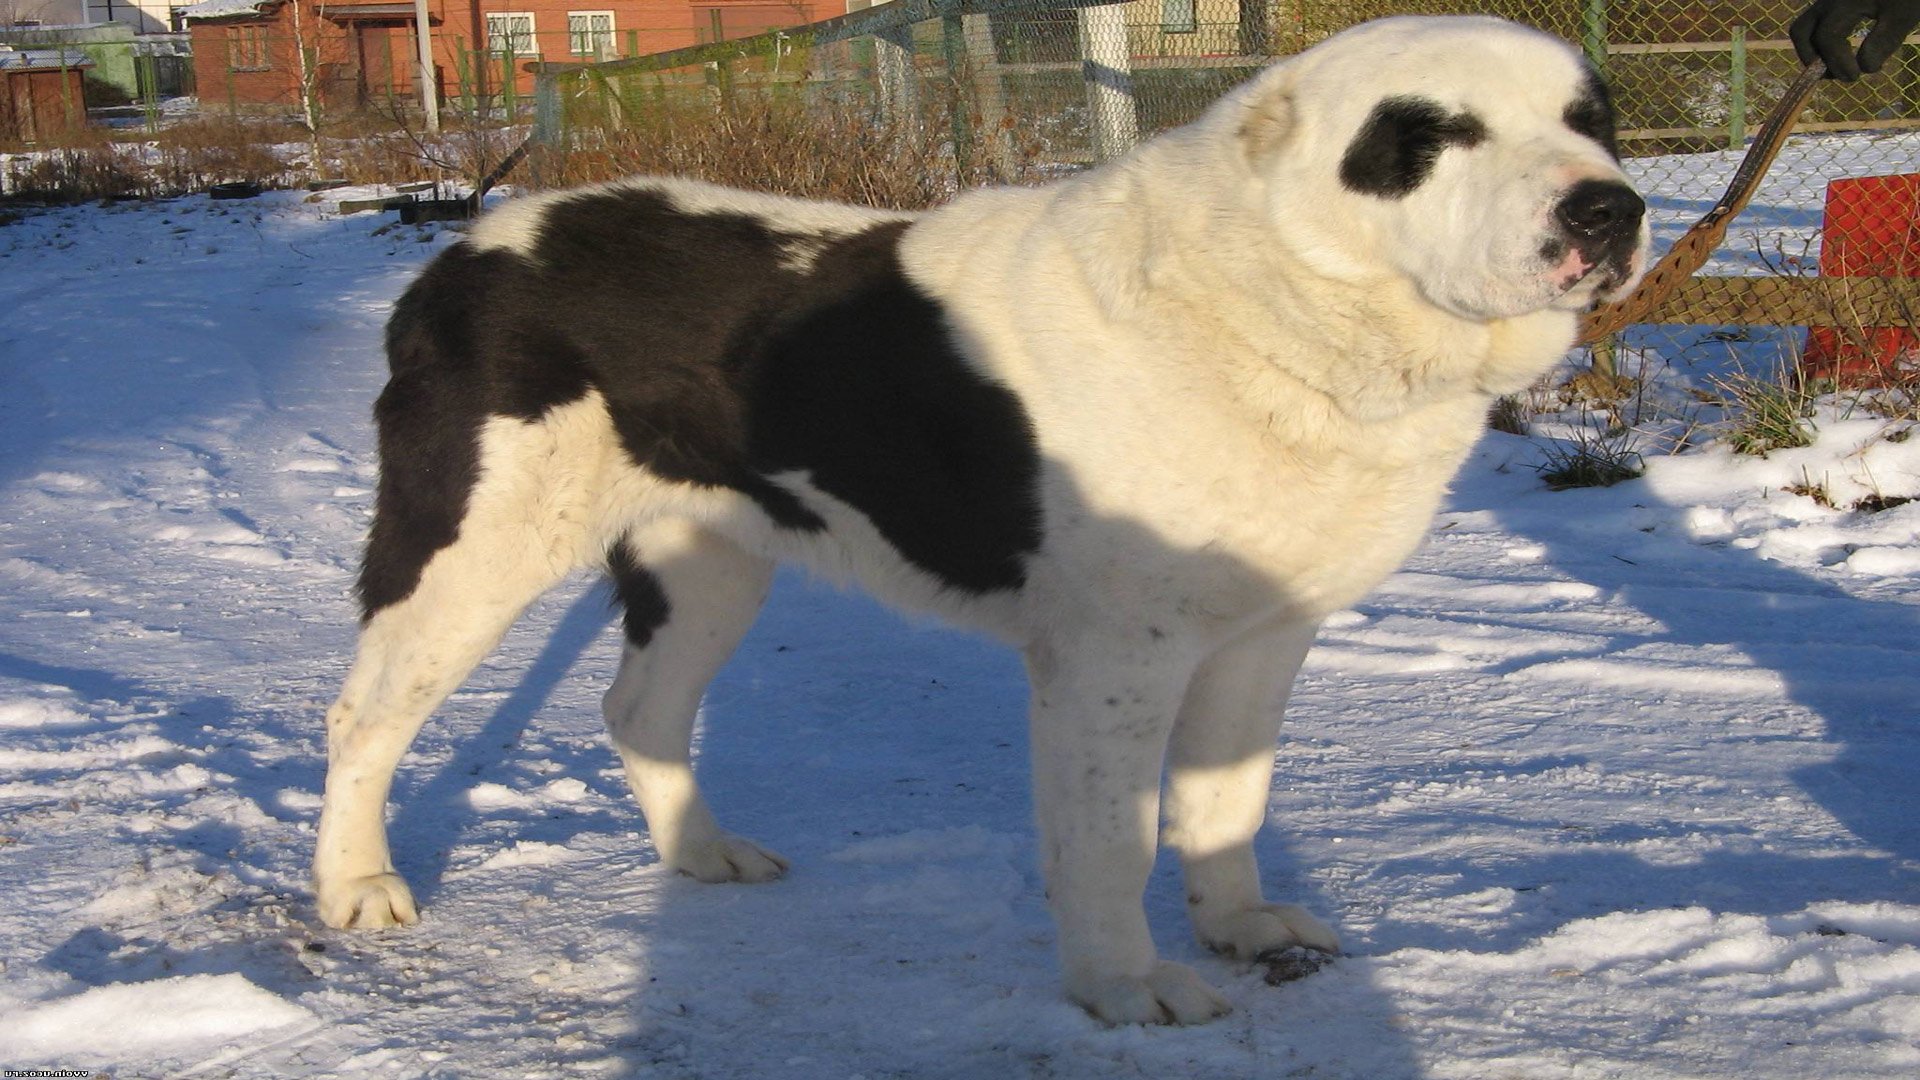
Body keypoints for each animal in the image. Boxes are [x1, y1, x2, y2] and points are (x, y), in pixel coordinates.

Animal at [318, 18, 1651, 1022]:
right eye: (1432, 134)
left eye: (1590, 120)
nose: (1609, 210)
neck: (1276, 297)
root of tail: (467, 249)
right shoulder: (1116, 658)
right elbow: (1113, 838)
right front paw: (1125, 989)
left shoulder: (1264, 635)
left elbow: (1229, 800)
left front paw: (1237, 927)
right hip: (471, 549)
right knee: (364, 716)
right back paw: (358, 886)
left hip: (710, 564)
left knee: (638, 707)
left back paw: (702, 854)